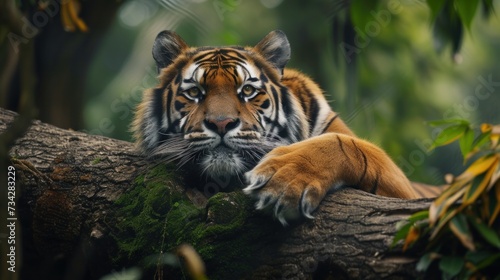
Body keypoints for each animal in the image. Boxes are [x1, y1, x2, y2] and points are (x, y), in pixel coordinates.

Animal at [132, 29, 418, 225]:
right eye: (194, 92)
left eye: (247, 91)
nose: (222, 123)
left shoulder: (407, 194)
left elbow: (344, 144)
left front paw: (284, 180)